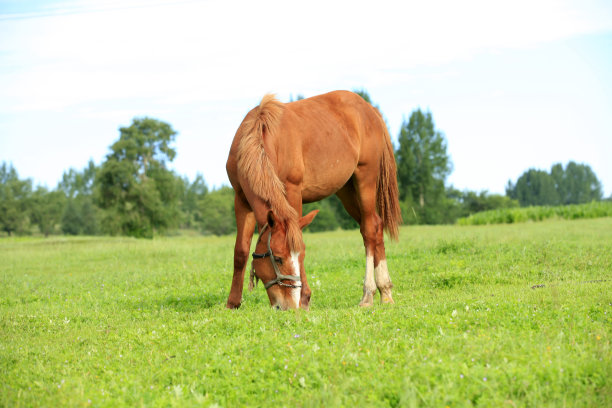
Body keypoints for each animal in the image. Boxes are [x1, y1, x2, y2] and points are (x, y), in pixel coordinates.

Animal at [225, 90, 402, 310]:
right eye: (278, 259)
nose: (288, 306)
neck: (263, 138)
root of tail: (371, 110)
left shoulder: (293, 192)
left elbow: (299, 243)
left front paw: (305, 299)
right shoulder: (241, 199)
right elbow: (240, 251)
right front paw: (232, 303)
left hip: (365, 179)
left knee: (370, 229)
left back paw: (368, 293)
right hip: (347, 190)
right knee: (375, 227)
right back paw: (385, 292)